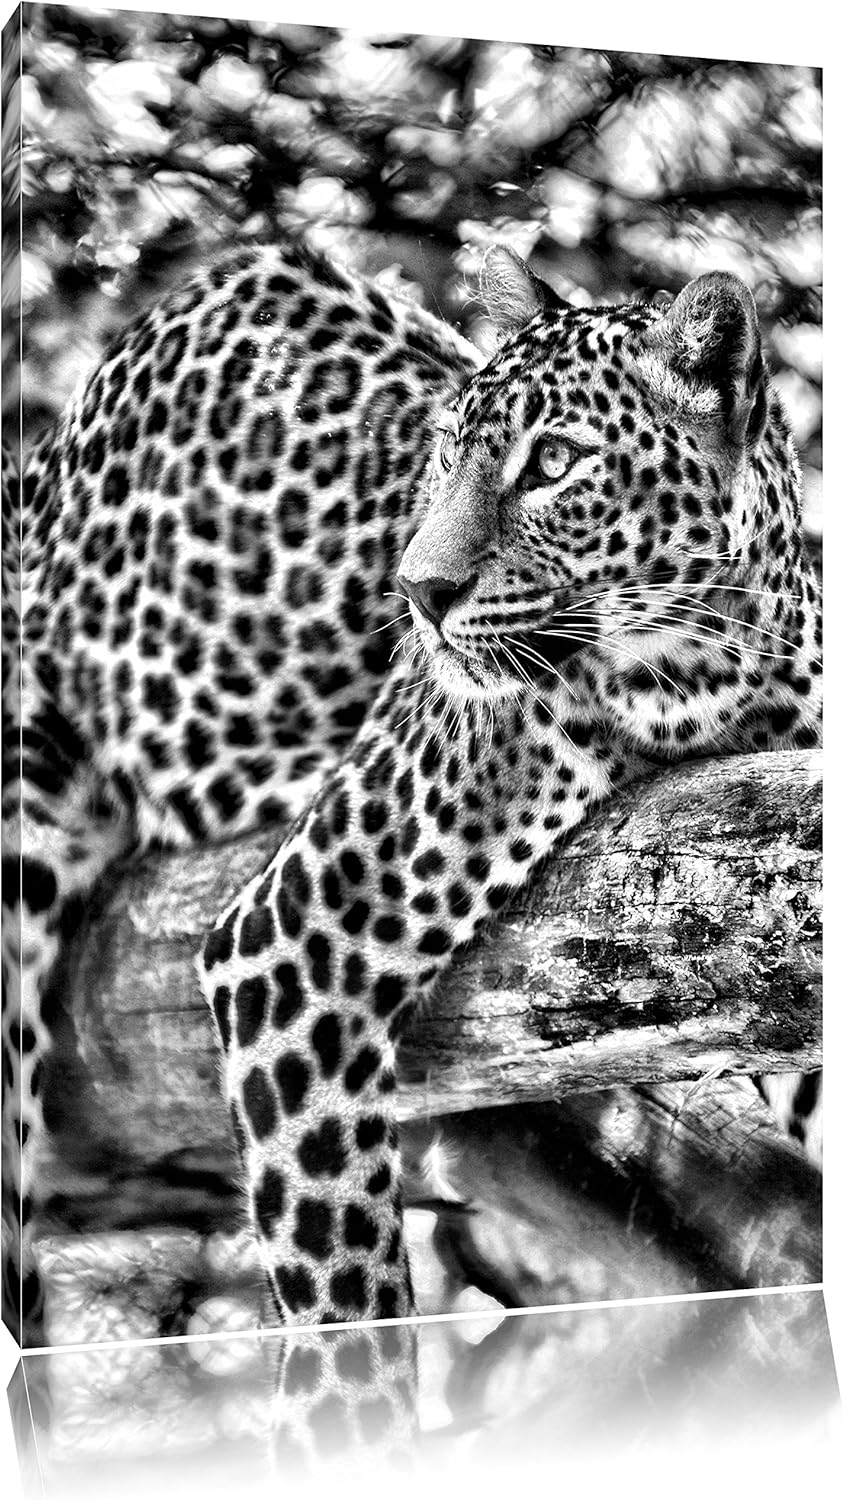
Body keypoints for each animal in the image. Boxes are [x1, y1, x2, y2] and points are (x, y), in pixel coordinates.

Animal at [1, 238, 822, 1374]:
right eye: (445, 453)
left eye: (552, 462)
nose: (418, 591)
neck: (711, 674)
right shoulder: (289, 939)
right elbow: (345, 1303)